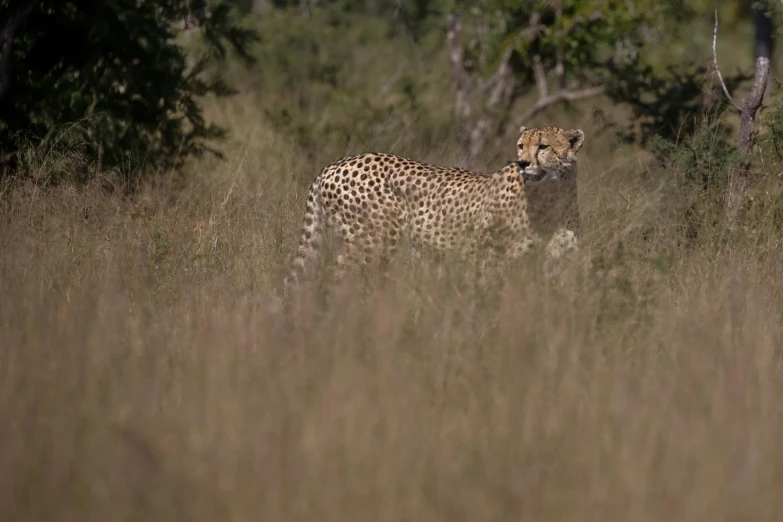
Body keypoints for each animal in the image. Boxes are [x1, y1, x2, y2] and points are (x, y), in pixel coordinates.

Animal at [284, 126, 584, 288]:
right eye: (521, 146)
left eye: (543, 146)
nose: (522, 163)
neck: (550, 196)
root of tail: (334, 164)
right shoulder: (485, 257)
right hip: (374, 239)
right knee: (341, 275)